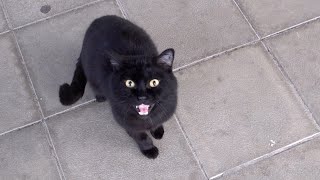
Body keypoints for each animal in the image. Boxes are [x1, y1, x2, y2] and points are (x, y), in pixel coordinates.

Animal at [59, 15, 178, 159]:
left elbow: (157, 122)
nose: (142, 96)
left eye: (153, 82)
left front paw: (157, 131)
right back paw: (100, 97)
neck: (146, 118)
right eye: (129, 83)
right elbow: (142, 137)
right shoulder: (126, 122)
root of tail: (97, 20)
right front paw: (149, 150)